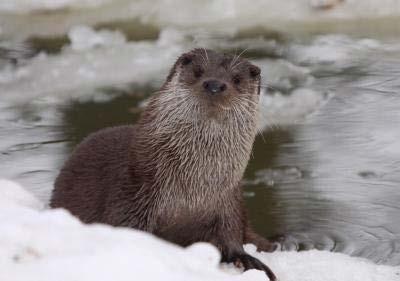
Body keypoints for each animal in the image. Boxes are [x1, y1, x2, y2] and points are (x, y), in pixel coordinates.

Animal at [52, 48, 278, 280]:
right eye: (198, 71)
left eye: (237, 79)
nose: (214, 85)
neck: (190, 192)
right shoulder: (132, 195)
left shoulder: (228, 203)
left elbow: (231, 236)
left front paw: (247, 260)